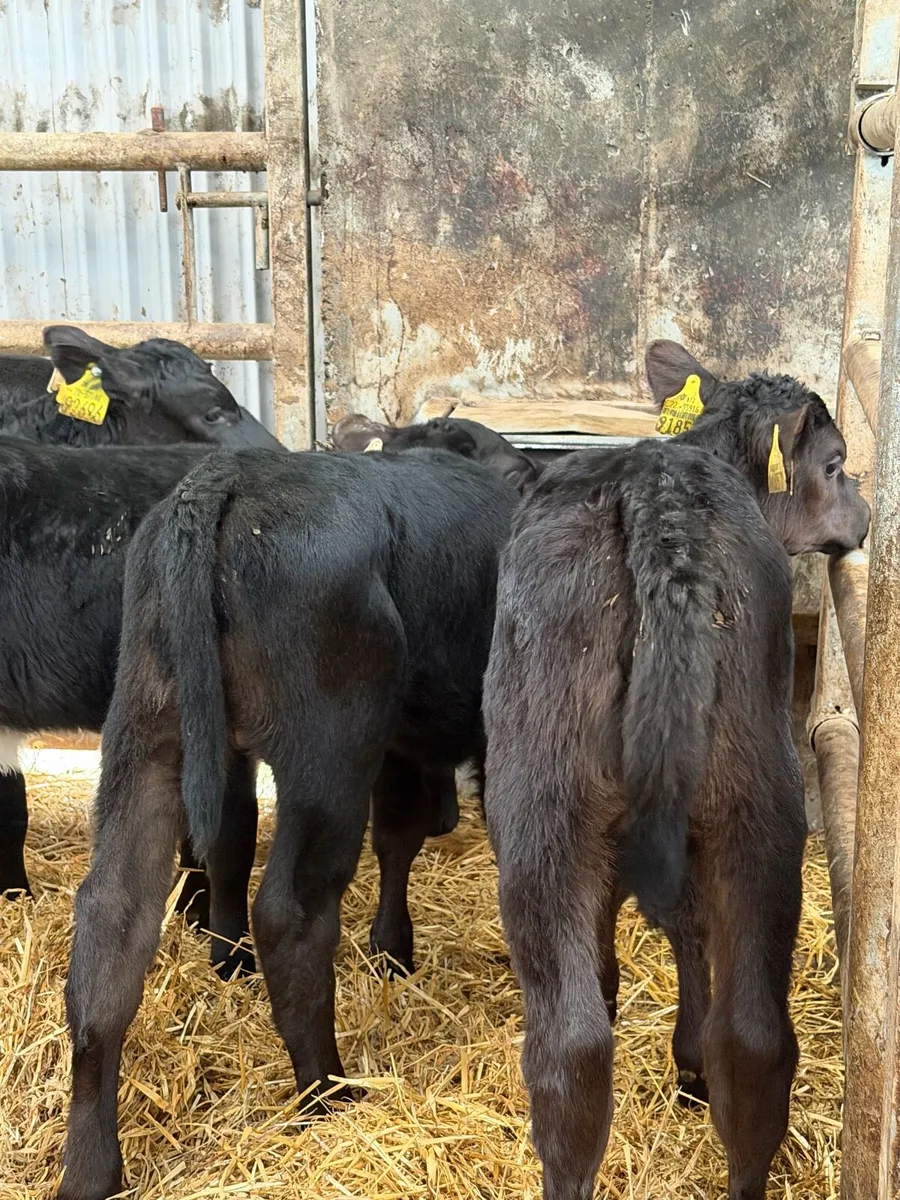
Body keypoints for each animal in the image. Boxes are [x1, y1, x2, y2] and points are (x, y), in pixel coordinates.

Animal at [482, 341, 870, 1200]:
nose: (866, 511)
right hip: (745, 804)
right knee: (746, 1038)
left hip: (549, 811)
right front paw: (689, 1069)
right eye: (836, 464)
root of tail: (659, 503)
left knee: (583, 1050)